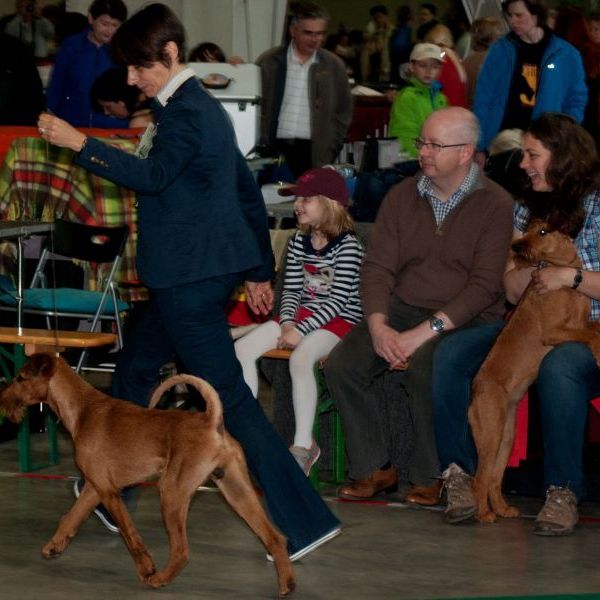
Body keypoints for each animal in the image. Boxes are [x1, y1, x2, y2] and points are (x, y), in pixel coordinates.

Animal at [0, 353, 295, 597]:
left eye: (20, 378)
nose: (2, 401)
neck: (83, 410)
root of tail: (212, 419)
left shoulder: (108, 491)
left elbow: (131, 537)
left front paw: (146, 570)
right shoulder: (94, 487)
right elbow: (70, 517)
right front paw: (54, 546)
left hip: (172, 493)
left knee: (181, 550)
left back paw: (161, 578)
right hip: (236, 490)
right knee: (274, 537)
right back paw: (286, 584)